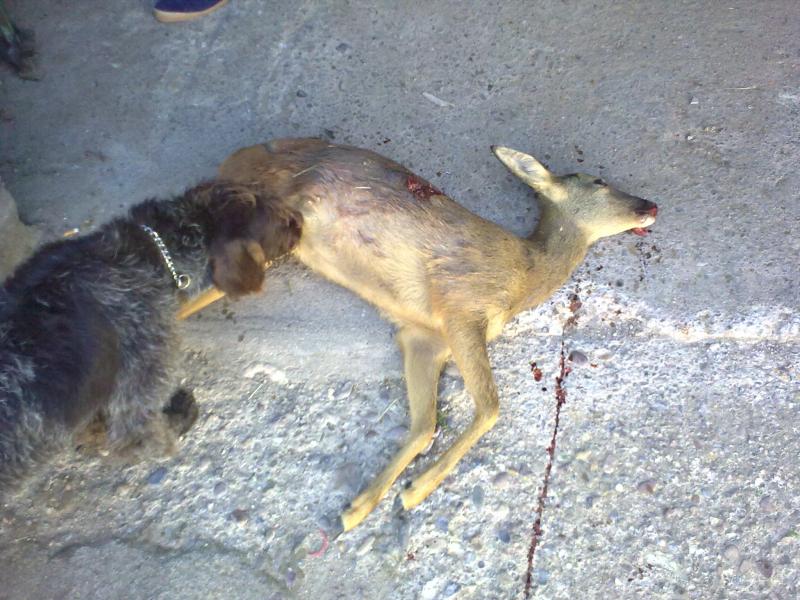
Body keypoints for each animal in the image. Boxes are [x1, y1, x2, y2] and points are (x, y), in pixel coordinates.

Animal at [0, 181, 302, 493]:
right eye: (280, 220)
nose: (301, 221)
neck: (150, 255)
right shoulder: (146, 362)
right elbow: (141, 436)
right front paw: (177, 422)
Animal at [179, 138, 658, 533]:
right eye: (599, 181)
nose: (651, 205)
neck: (524, 275)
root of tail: (234, 161)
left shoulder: (424, 336)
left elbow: (425, 424)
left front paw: (360, 507)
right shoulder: (462, 307)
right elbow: (490, 408)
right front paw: (416, 490)